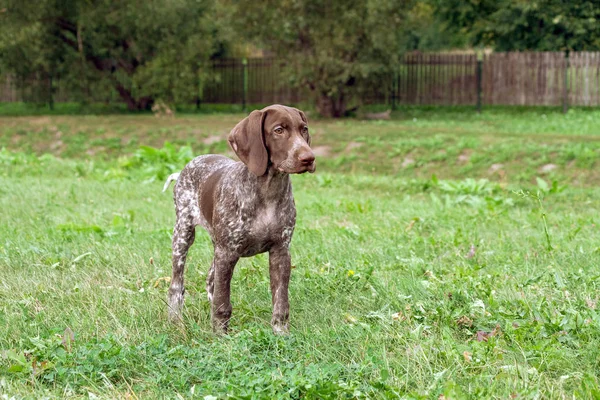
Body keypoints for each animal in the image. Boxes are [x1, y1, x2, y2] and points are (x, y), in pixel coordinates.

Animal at [162, 104, 316, 334]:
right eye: (279, 130)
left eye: (303, 129)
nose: (309, 158)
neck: (268, 191)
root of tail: (183, 169)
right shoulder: (227, 252)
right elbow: (223, 303)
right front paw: (220, 336)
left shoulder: (281, 251)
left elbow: (281, 301)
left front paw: (281, 333)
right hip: (183, 234)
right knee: (177, 284)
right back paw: (175, 320)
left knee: (211, 280)